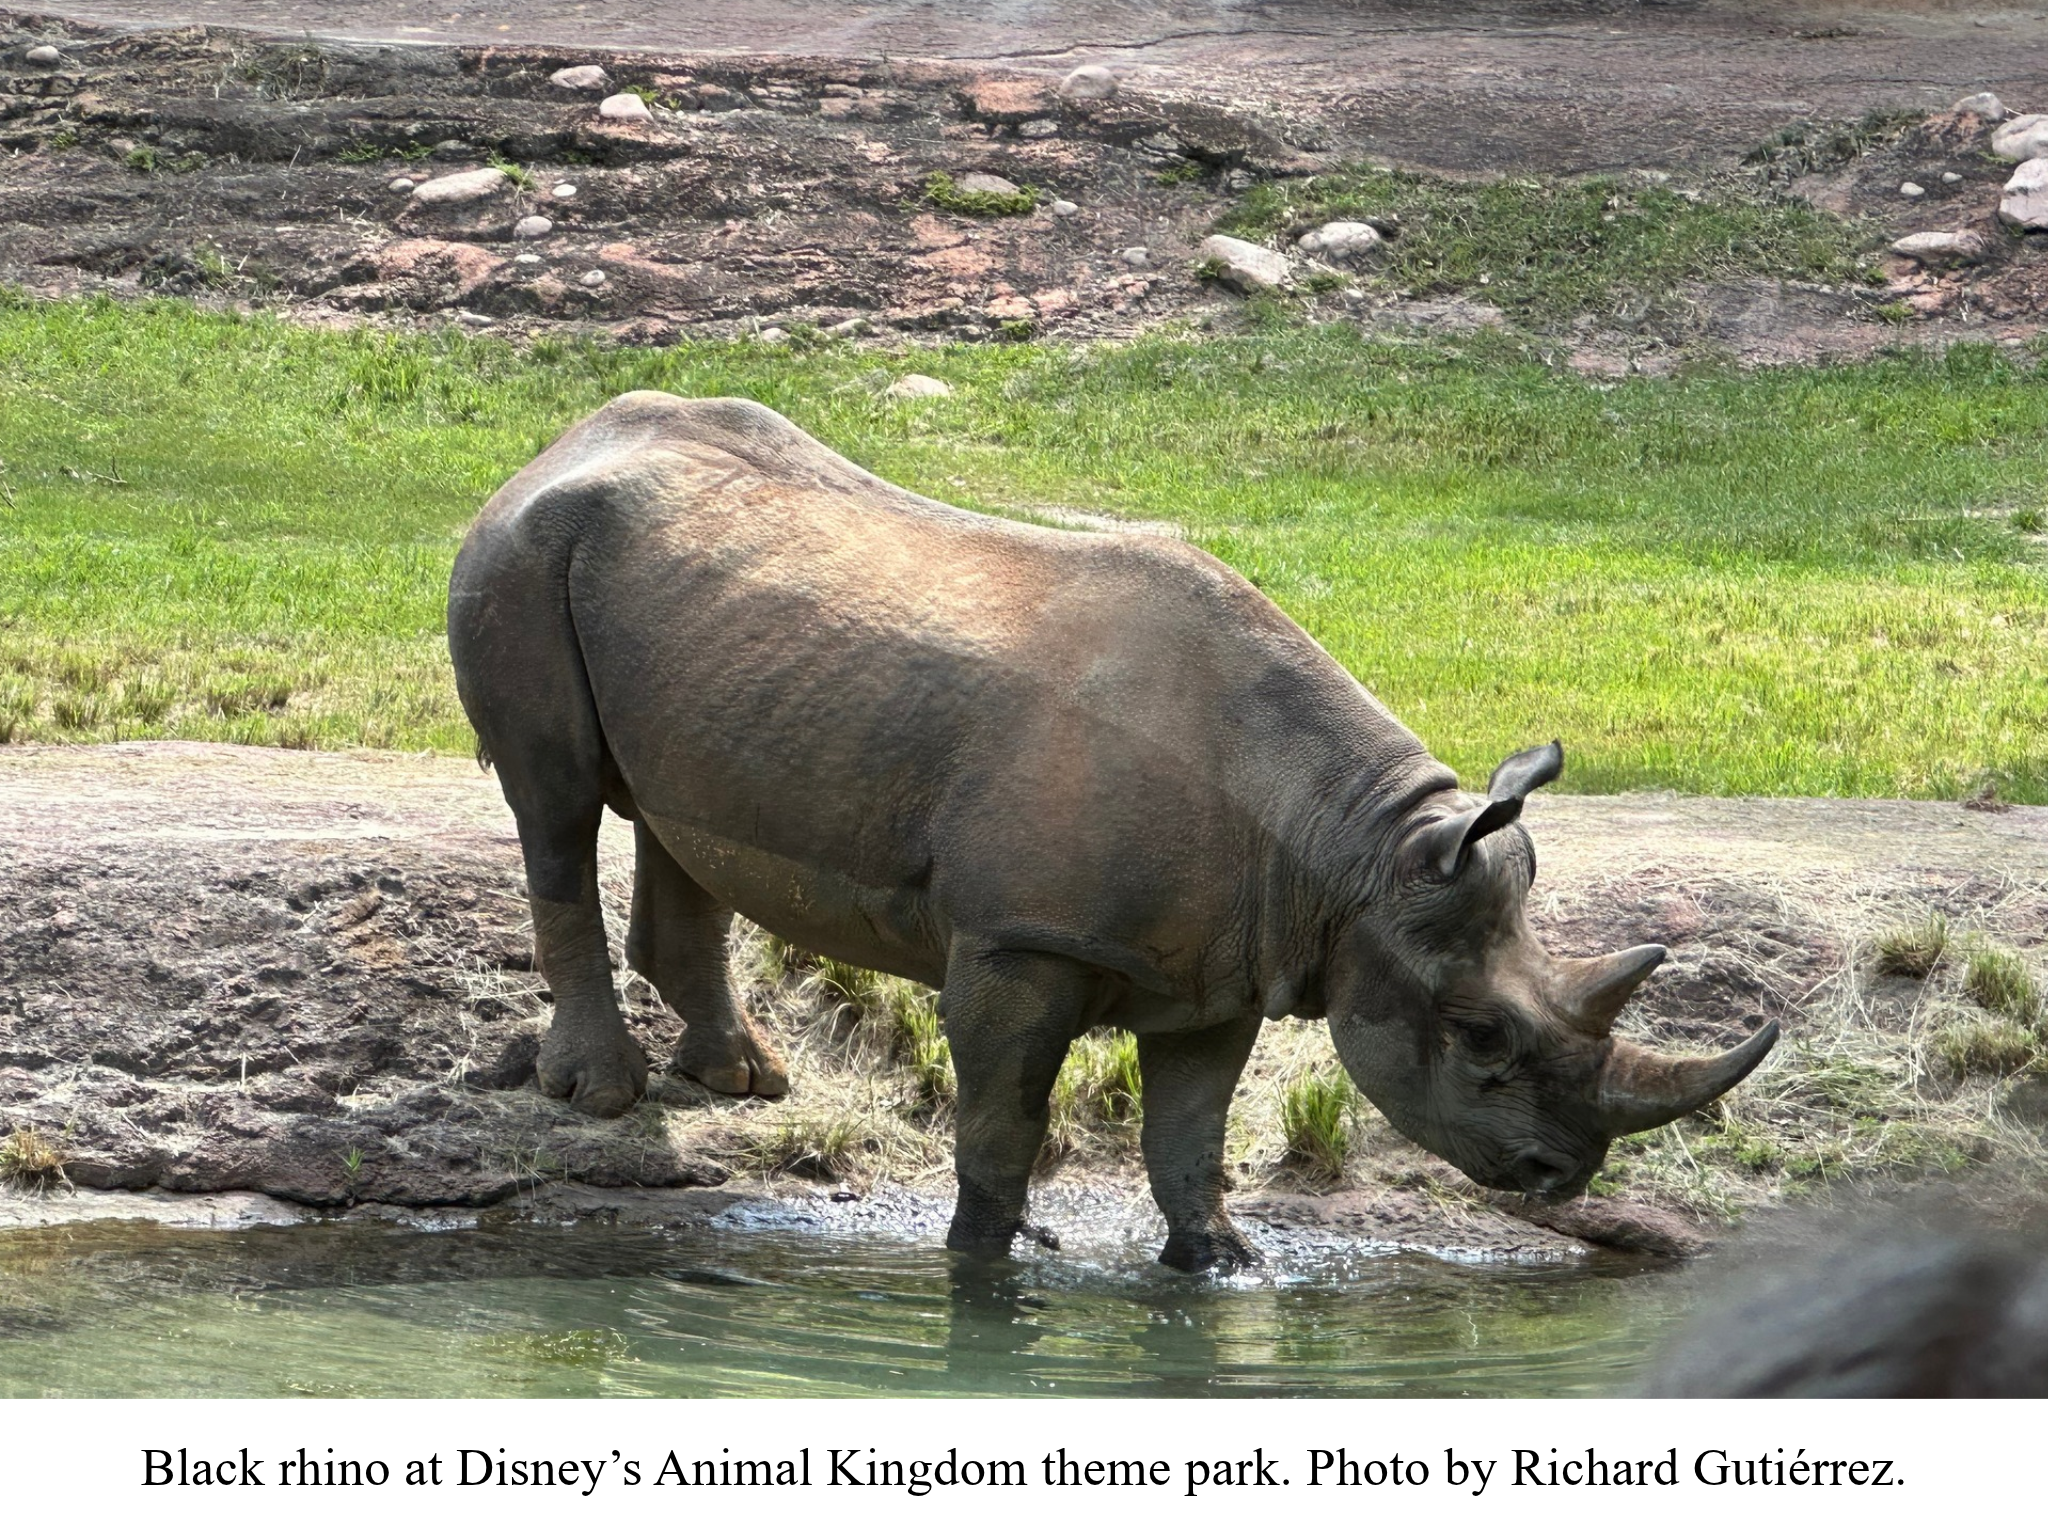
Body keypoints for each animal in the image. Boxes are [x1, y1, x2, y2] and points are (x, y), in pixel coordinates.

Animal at [447, 392, 1777, 1271]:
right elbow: (1001, 1122)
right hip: (519, 550)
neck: (1353, 858)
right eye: (1482, 1036)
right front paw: (985, 1263)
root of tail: (559, 442)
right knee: (555, 801)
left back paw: (741, 1079)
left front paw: (1220, 1267)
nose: (1565, 1176)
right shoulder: (1019, 937)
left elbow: (1189, 1135)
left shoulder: (1229, 965)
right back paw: (604, 1096)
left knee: (671, 814)